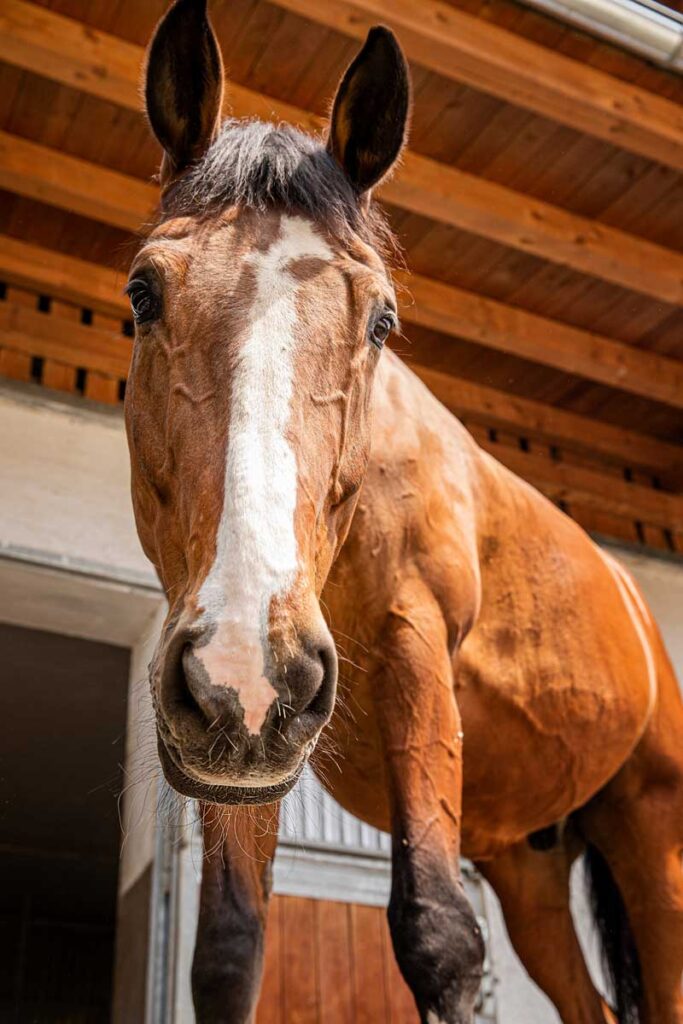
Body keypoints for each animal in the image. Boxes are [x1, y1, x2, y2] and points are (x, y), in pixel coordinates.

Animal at [124, 2, 683, 1022]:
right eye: (142, 293)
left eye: (380, 319)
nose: (245, 657)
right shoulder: (246, 741)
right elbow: (226, 949)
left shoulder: (415, 650)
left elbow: (437, 936)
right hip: (527, 869)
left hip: (648, 833)